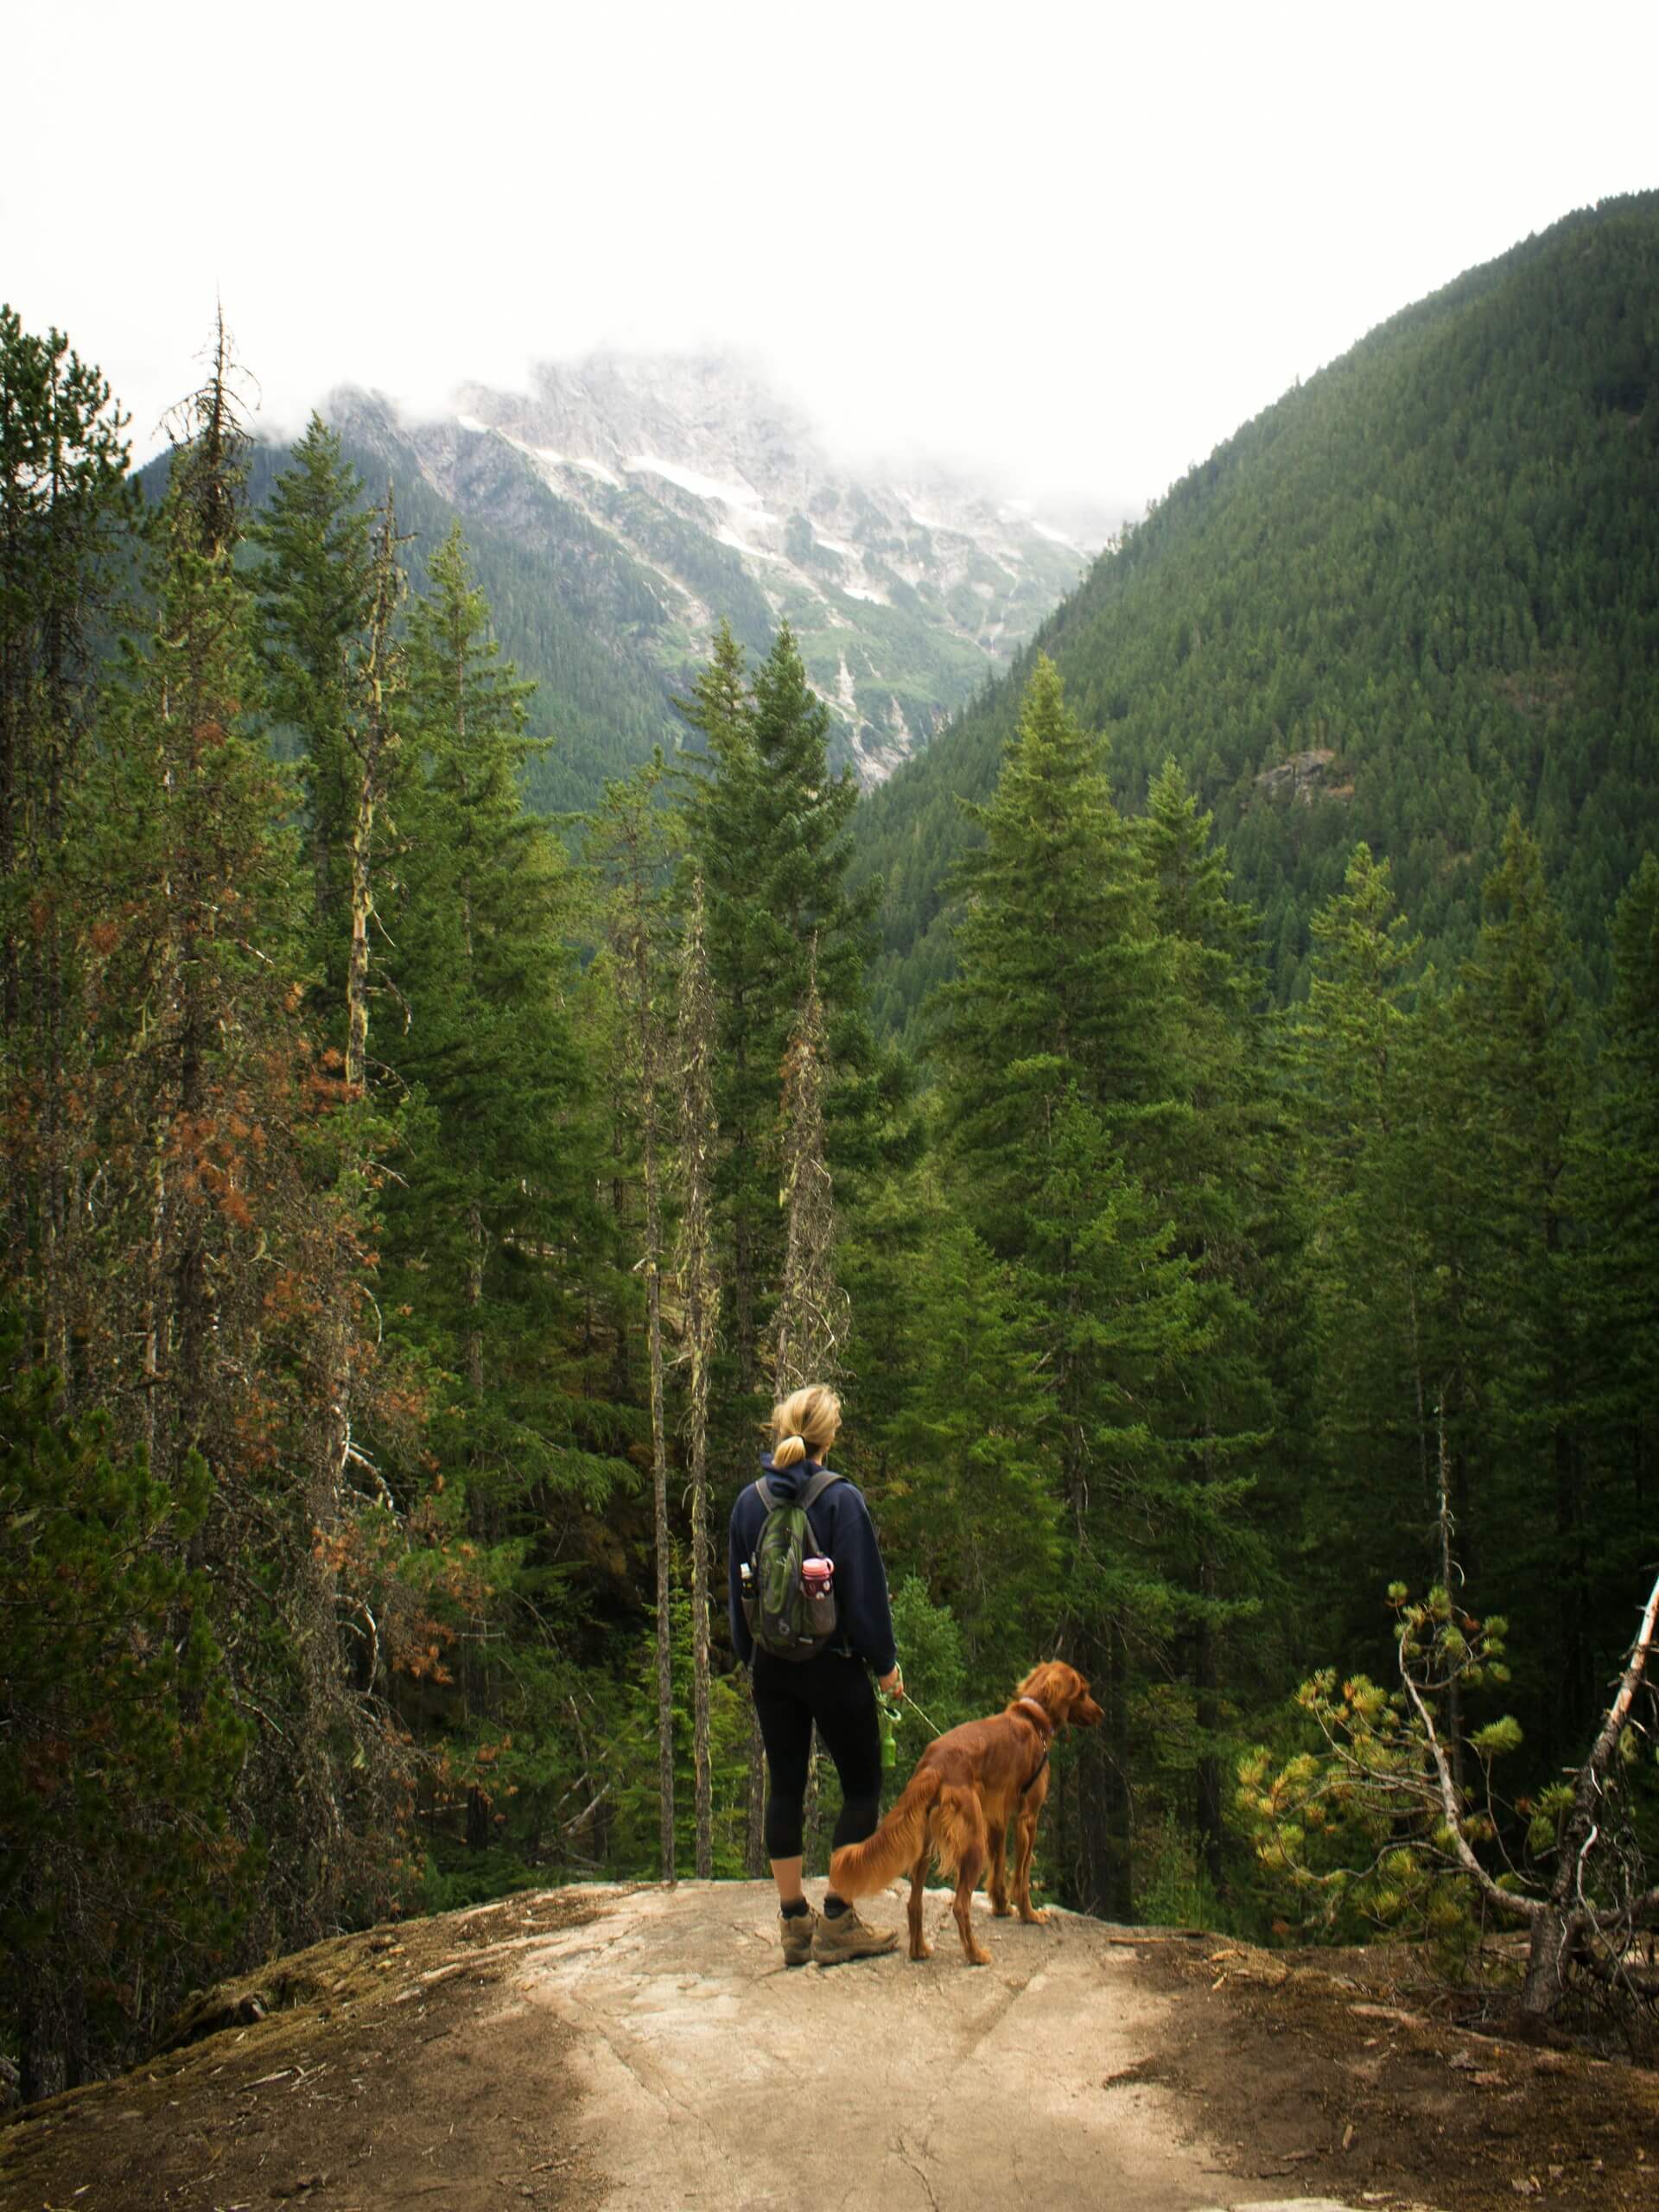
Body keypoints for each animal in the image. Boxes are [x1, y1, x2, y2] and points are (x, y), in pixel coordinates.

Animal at [827, 1663, 1106, 1964]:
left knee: (914, 1903)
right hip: (972, 1841)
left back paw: (919, 1950)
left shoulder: (996, 1819)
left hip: (926, 1843)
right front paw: (1029, 1914)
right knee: (960, 1905)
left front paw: (1001, 1906)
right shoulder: (1028, 1817)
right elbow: (1022, 1875)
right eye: (1084, 1691)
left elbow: (999, 1868)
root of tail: (935, 1764)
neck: (1033, 1718)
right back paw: (975, 1954)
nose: (1101, 1713)